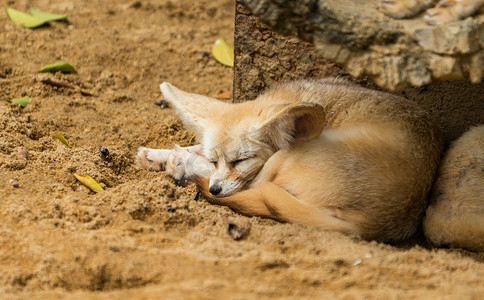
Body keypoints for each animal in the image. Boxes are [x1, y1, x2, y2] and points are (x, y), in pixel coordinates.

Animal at [136, 78, 442, 243]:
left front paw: (179, 160)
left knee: (254, 188)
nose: (214, 189)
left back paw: (182, 165)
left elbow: (239, 180)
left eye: (241, 160)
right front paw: (156, 154)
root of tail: (371, 224)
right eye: (215, 161)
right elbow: (199, 145)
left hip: (286, 156)